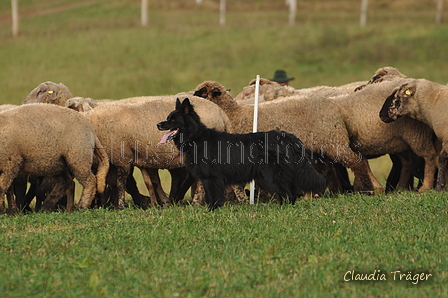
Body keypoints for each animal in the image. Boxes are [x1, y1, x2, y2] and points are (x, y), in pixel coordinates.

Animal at [158, 99, 326, 211]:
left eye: (173, 120)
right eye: (167, 118)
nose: (158, 124)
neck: (196, 138)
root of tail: (289, 137)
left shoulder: (210, 178)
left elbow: (213, 197)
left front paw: (211, 212)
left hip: (273, 175)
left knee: (288, 195)